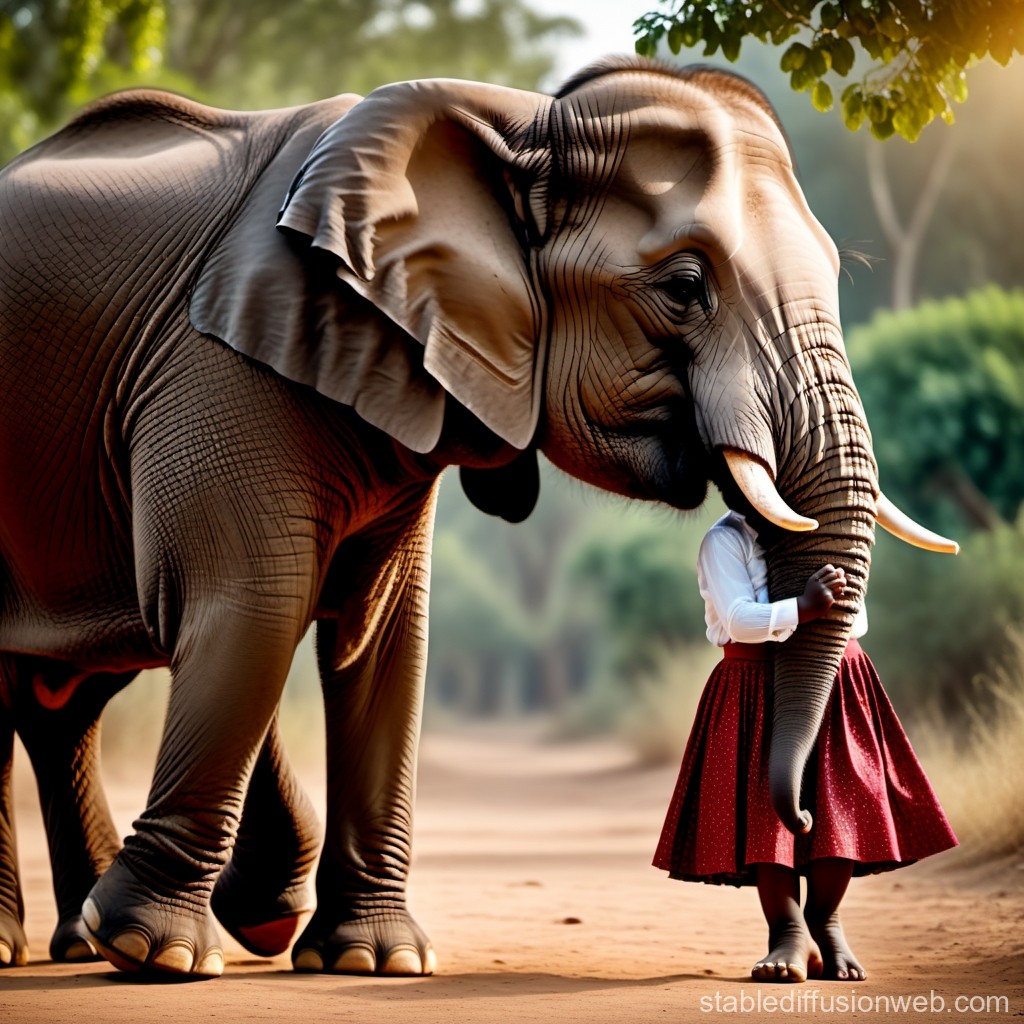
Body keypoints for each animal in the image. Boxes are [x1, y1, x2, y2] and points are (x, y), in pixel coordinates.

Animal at [0, 55, 956, 979]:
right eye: (686, 286)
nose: (799, 816)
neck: (522, 124)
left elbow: (381, 632)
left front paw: (371, 959)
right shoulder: (224, 360)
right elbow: (245, 605)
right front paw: (157, 953)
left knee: (61, 696)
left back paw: (74, 940)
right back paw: (51, 944)